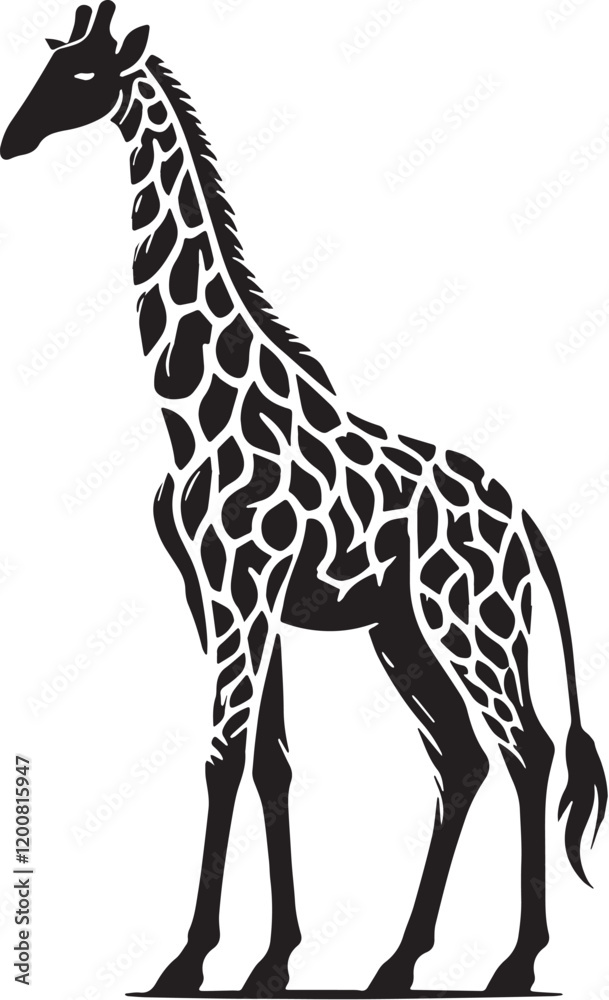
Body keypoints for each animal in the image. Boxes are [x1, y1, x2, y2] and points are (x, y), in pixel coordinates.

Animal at [1, 4, 606, 997]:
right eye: (48, 68)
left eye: (84, 78)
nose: (12, 138)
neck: (191, 411)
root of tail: (529, 527)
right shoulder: (220, 594)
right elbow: (270, 764)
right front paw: (272, 958)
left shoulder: (243, 591)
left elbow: (222, 758)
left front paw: (186, 961)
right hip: (401, 631)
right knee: (462, 760)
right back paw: (397, 962)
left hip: (472, 625)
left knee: (528, 751)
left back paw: (514, 963)